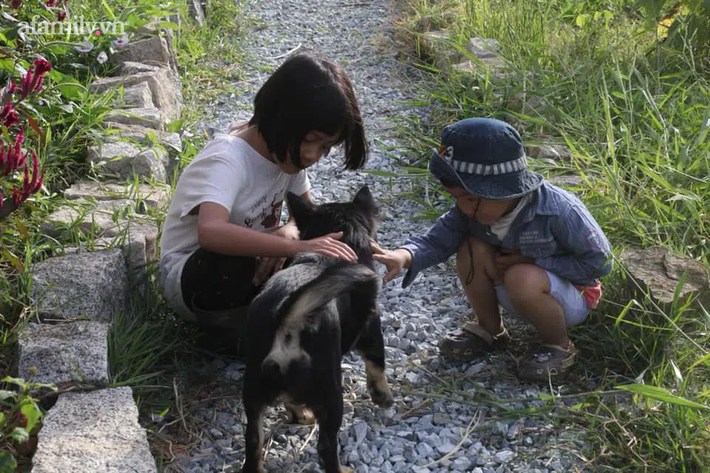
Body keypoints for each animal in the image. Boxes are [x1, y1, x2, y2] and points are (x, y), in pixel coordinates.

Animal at [243, 185, 394, 472]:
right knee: (326, 448)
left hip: (254, 392)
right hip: (331, 393)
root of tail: (288, 319)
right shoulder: (371, 326)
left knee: (253, 443)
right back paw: (342, 468)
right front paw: (383, 396)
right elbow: (377, 363)